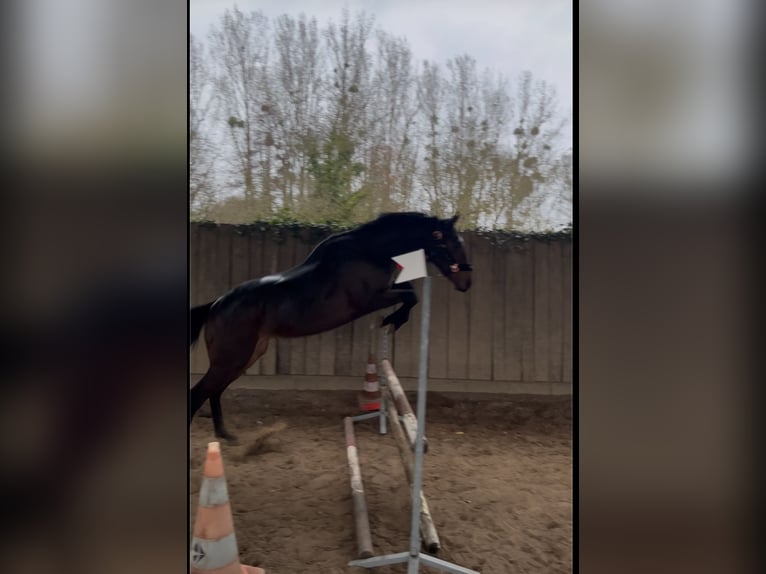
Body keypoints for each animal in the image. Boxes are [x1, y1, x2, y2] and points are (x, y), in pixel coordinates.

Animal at [189, 212, 472, 440]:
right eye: (453, 244)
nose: (466, 283)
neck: (370, 251)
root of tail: (215, 306)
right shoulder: (370, 299)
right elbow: (411, 295)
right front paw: (394, 321)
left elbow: (409, 291)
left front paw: (393, 320)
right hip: (231, 358)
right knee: (200, 393)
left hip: (246, 356)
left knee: (214, 391)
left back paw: (226, 435)